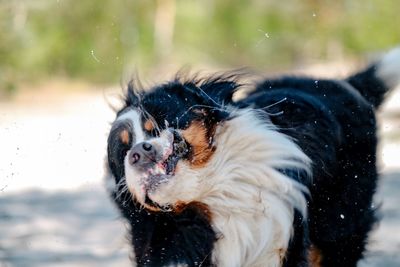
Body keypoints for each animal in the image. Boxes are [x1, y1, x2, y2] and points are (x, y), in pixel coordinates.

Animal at [105, 48, 400, 267]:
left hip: (339, 223)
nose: (138, 153)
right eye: (123, 152)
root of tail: (343, 84)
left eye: (156, 123)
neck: (213, 195)